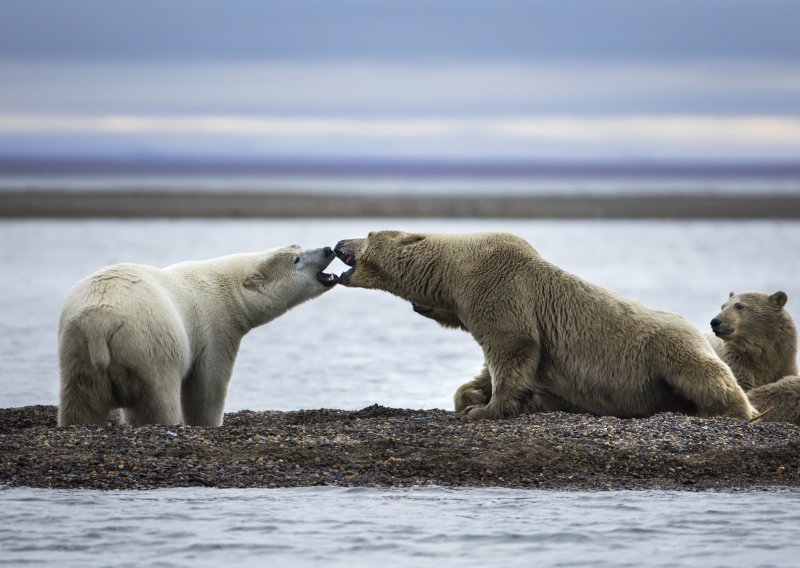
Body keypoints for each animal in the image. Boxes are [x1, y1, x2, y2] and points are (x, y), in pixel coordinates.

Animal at [57, 245, 340, 426]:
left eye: (299, 247)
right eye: (296, 259)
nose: (328, 249)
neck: (223, 287)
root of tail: (98, 321)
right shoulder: (213, 328)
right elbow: (207, 385)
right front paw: (209, 422)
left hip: (76, 348)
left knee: (81, 402)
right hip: (148, 345)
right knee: (158, 398)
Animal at [332, 231, 756, 422]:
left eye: (367, 234)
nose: (337, 242)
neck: (454, 270)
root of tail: (696, 328)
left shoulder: (500, 287)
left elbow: (512, 345)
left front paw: (485, 409)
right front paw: (471, 397)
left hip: (669, 351)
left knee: (708, 377)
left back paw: (743, 411)